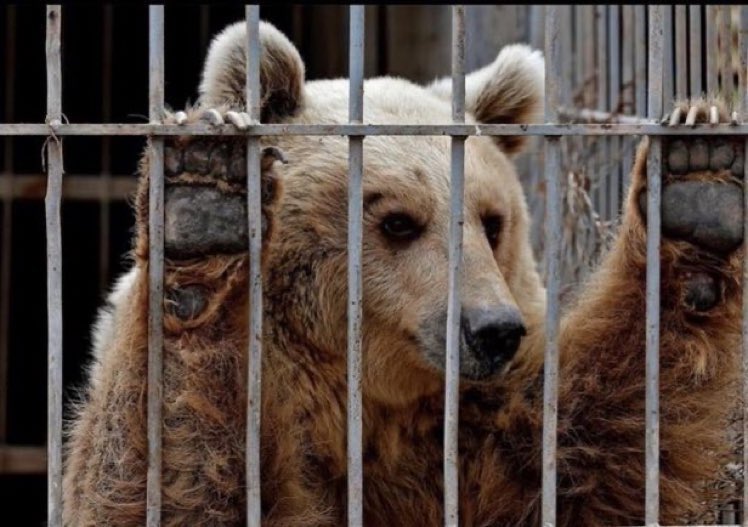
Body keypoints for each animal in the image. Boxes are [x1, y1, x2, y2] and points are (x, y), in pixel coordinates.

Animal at [62, 20, 745, 527]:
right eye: (397, 221)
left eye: (492, 221)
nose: (492, 330)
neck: (366, 404)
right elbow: (176, 467)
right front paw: (207, 200)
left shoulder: (479, 437)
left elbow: (593, 449)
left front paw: (697, 181)